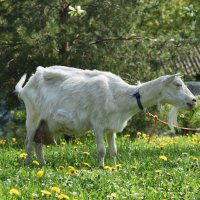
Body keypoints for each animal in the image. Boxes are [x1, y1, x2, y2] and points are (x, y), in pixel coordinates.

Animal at [14, 65, 196, 166]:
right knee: (28, 144)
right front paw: (101, 167)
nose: (193, 100)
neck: (119, 95)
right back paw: (28, 164)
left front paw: (113, 166)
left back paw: (42, 164)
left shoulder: (111, 127)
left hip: (47, 124)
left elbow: (113, 151)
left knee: (39, 145)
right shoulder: (98, 125)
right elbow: (101, 150)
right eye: (178, 84)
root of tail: (25, 88)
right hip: (33, 117)